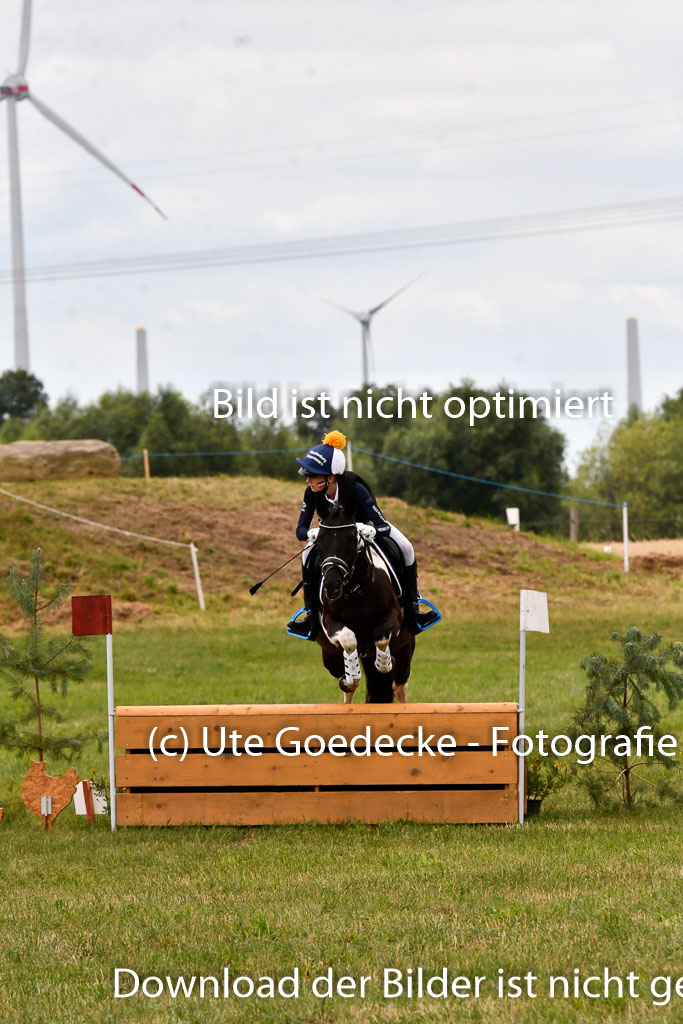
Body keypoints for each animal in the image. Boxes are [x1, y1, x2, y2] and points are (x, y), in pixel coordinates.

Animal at [315, 505, 417, 704]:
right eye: (320, 540)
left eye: (350, 538)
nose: (331, 586)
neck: (355, 589)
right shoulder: (330, 622)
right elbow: (348, 639)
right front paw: (352, 672)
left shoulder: (393, 616)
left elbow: (381, 639)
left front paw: (385, 661)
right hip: (329, 656)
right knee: (347, 687)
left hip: (404, 649)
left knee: (400, 686)